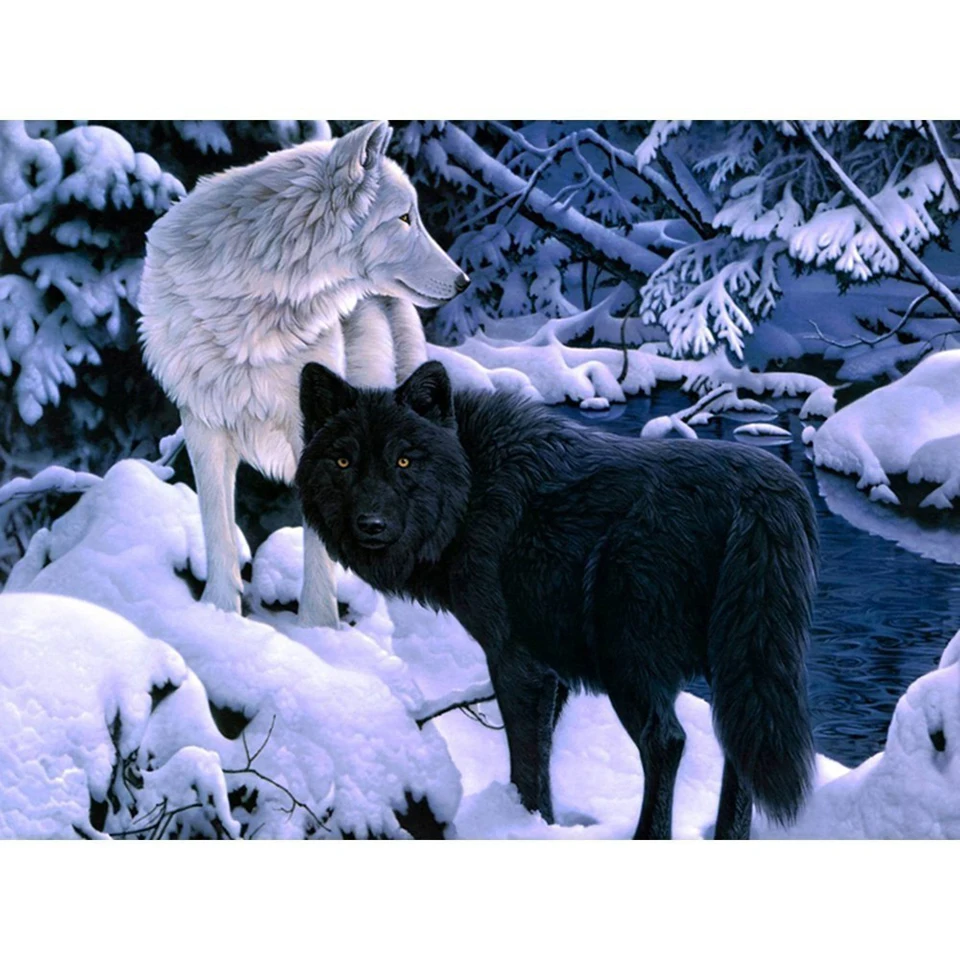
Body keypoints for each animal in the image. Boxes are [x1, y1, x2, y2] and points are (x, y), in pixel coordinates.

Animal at [138, 122, 469, 626]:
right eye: (404, 218)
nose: (463, 281)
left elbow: (319, 546)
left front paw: (318, 629)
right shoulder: (202, 425)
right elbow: (217, 528)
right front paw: (218, 616)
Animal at [295, 361, 820, 839]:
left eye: (404, 461)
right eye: (343, 462)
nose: (371, 524)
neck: (472, 488)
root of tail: (761, 492)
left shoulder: (514, 658)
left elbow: (527, 765)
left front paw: (526, 827)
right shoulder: (552, 668)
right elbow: (543, 753)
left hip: (628, 661)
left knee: (667, 741)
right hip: (737, 664)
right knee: (737, 746)